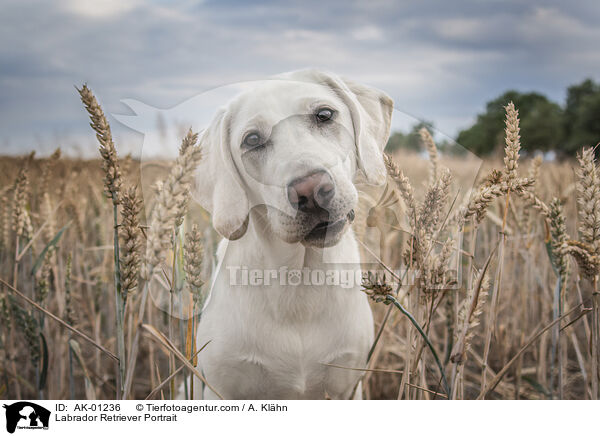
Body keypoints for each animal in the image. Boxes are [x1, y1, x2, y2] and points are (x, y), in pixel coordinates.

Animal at [192, 69, 394, 398]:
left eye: (324, 115)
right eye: (252, 140)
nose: (310, 191)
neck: (300, 281)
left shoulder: (348, 385)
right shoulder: (220, 388)